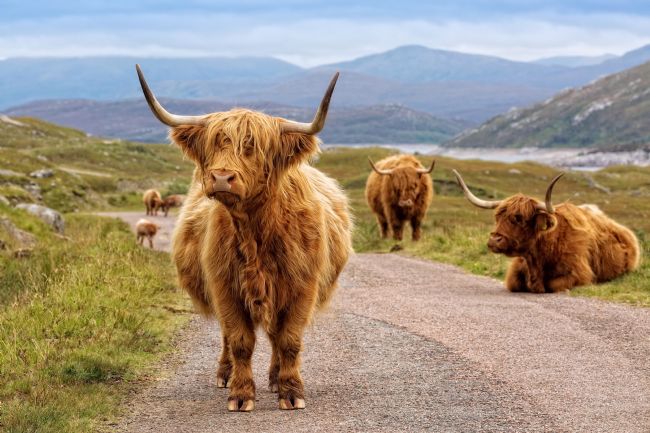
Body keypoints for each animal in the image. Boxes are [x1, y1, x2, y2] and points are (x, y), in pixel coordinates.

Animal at [136, 65, 352, 412]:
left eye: (252, 147)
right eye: (214, 144)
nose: (222, 177)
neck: (256, 231)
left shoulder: (302, 284)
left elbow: (290, 340)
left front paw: (291, 392)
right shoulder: (225, 285)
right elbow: (240, 340)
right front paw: (240, 394)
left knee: (276, 336)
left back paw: (276, 378)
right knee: (228, 336)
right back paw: (225, 375)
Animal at [453, 170, 640, 293]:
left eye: (519, 219)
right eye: (497, 217)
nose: (494, 240)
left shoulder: (580, 274)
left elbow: (552, 285)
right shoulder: (515, 273)